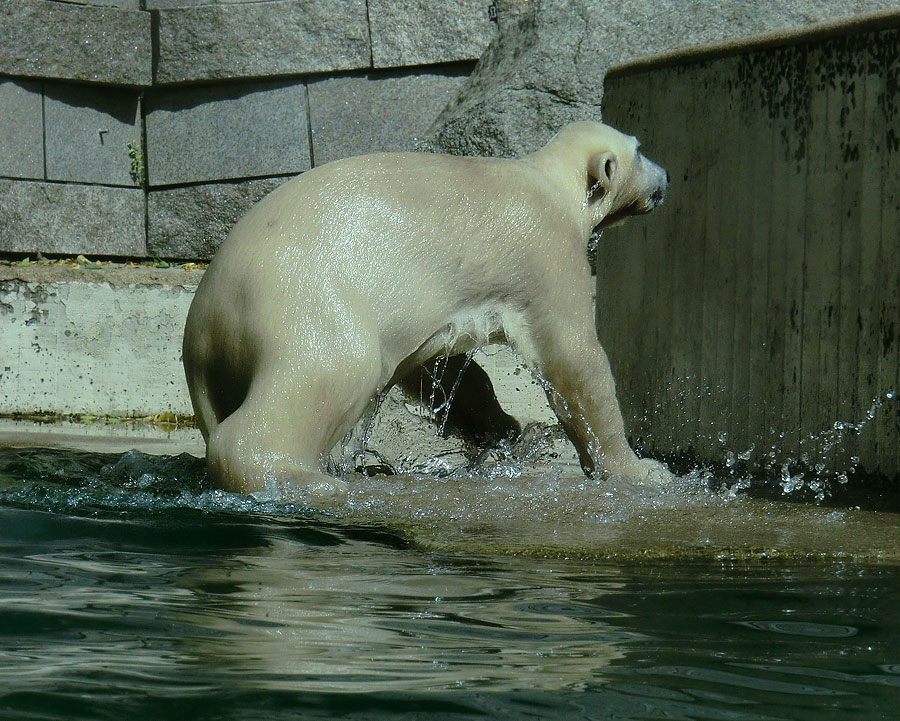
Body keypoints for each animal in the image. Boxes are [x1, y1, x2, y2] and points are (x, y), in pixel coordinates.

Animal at [183, 119, 672, 500]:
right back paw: (304, 480)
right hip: (304, 306)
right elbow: (574, 361)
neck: (549, 183)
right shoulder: (546, 252)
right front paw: (640, 470)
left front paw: (504, 428)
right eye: (639, 149)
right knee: (327, 374)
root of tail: (208, 318)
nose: (666, 177)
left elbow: (439, 367)